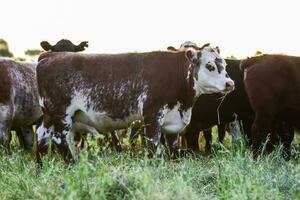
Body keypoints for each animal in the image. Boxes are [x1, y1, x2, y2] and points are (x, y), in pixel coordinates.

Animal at [37, 44, 234, 160]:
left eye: (224, 64)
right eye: (209, 66)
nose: (230, 83)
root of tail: (49, 56)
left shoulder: (173, 123)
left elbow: (173, 148)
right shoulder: (152, 115)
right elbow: (153, 146)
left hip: (49, 115)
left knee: (42, 135)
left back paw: (41, 165)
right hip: (62, 115)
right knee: (59, 138)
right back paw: (72, 162)